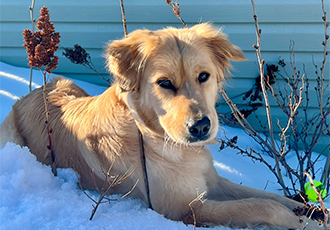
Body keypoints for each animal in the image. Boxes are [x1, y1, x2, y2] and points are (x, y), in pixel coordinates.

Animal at [0, 23, 326, 230]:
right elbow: (261, 206)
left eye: (204, 76)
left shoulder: (211, 181)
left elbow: (272, 197)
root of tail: (33, 92)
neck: (153, 136)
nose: (201, 127)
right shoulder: (186, 208)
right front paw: (305, 223)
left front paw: (316, 211)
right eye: (164, 83)